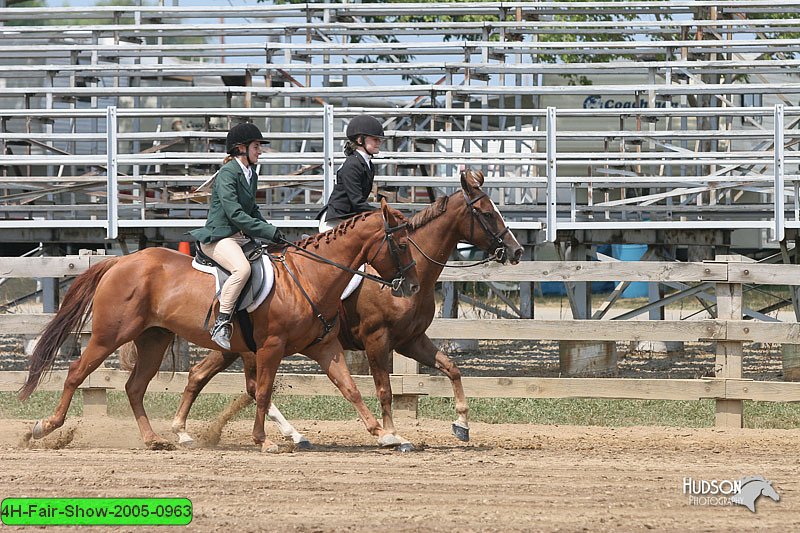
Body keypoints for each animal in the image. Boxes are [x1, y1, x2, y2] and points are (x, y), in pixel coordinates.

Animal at [18, 200, 418, 448]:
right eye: (400, 244)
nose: (412, 287)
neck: (308, 276)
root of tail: (121, 261)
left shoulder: (324, 347)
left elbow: (350, 389)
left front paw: (386, 435)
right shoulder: (270, 347)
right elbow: (262, 392)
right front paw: (264, 441)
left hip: (154, 339)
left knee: (134, 387)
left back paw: (154, 439)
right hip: (109, 334)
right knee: (76, 373)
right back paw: (43, 427)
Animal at [173, 169, 524, 448]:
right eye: (487, 213)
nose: (517, 251)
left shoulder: (411, 341)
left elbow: (451, 368)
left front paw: (461, 425)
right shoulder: (377, 339)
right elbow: (384, 390)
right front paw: (392, 434)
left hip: (237, 346)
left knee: (204, 375)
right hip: (249, 347)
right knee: (240, 383)